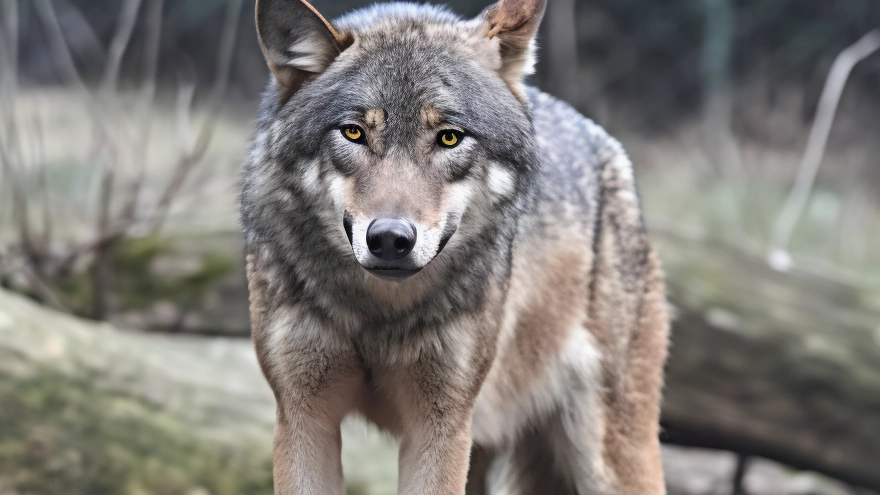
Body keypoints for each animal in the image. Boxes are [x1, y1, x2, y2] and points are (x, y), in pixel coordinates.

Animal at [239, 0, 668, 494]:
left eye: (449, 137)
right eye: (353, 133)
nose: (390, 239)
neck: (380, 314)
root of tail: (607, 146)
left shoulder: (442, 425)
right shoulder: (303, 417)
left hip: (609, 460)